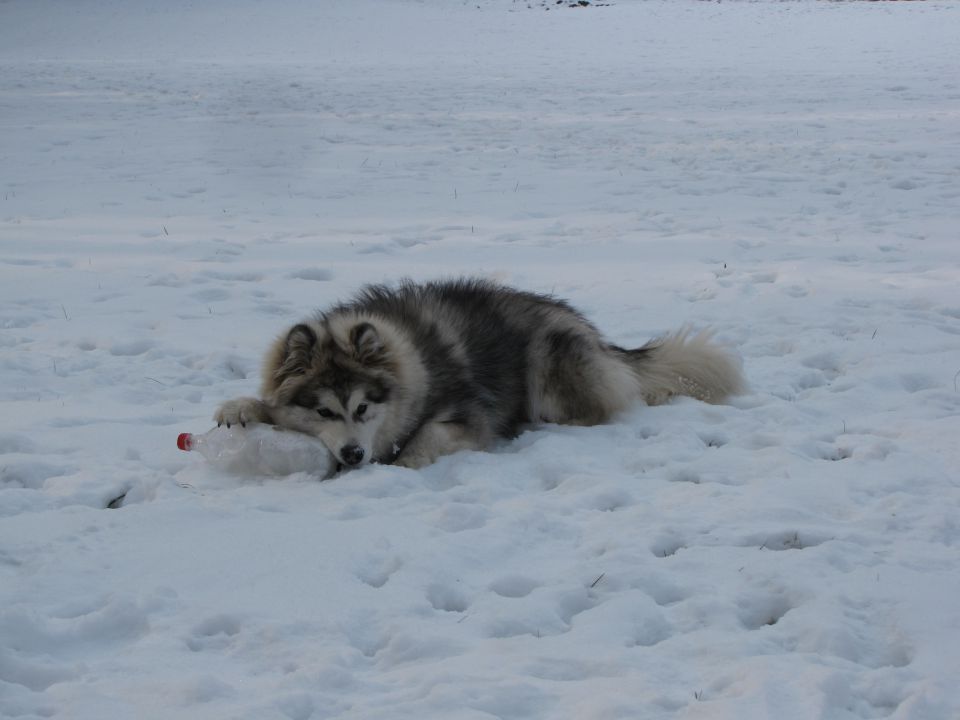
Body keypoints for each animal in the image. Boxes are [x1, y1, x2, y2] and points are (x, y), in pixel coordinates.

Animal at [216, 278, 744, 470]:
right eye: (325, 411)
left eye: (363, 407)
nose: (352, 454)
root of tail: (593, 333)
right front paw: (240, 407)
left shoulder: (467, 415)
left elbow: (424, 439)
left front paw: (400, 461)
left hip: (548, 364)